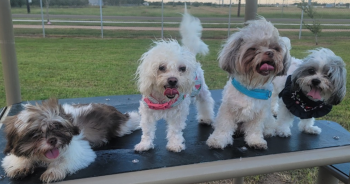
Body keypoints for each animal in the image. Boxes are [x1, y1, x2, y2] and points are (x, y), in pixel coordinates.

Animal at [133, 9, 213, 152]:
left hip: (201, 91)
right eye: (161, 67)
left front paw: (175, 144)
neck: (163, 100)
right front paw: (145, 144)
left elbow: (175, 130)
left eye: (182, 68)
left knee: (206, 103)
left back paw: (206, 118)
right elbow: (147, 131)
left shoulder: (178, 113)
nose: (173, 80)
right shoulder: (147, 113)